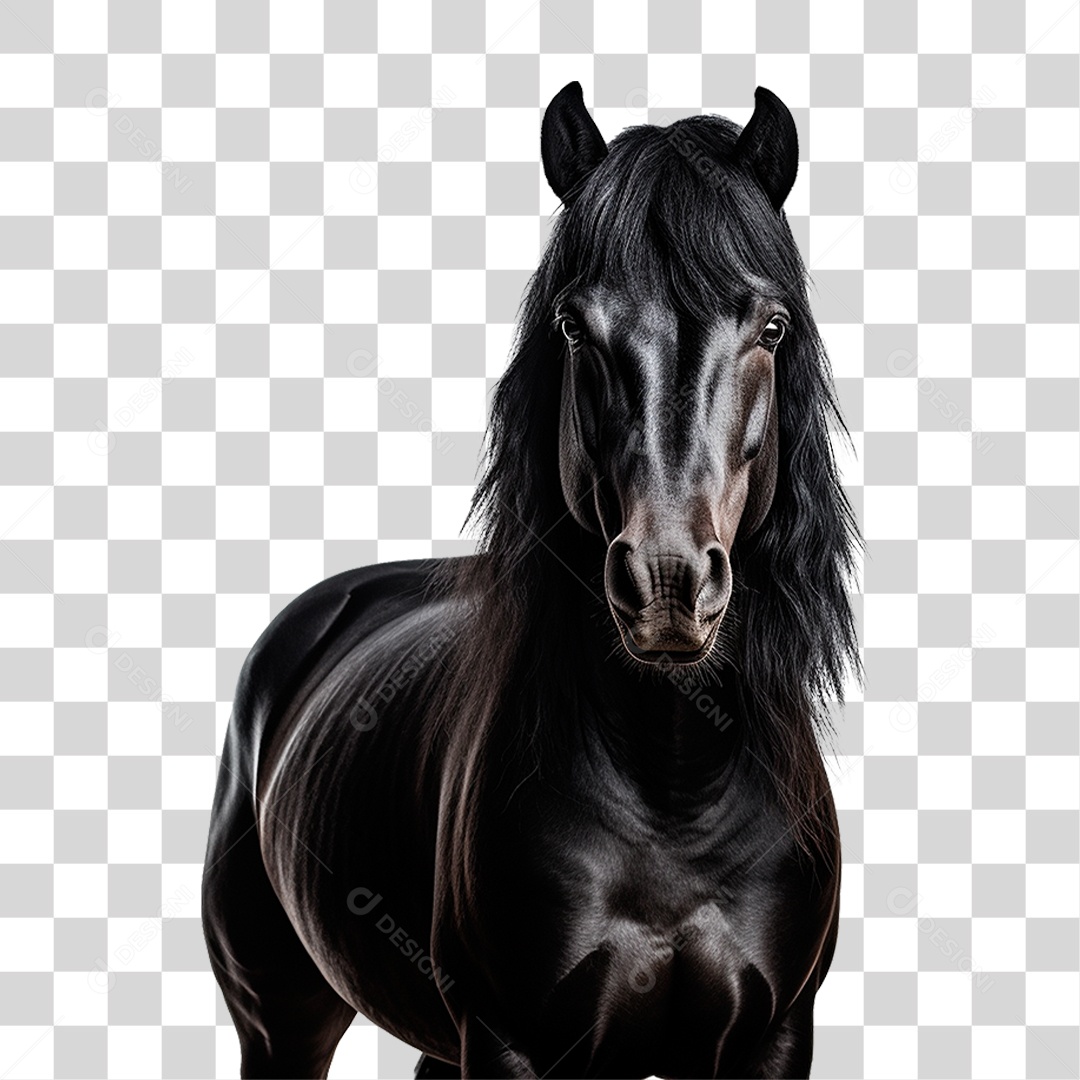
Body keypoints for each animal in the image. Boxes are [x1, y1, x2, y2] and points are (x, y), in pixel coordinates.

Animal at [202, 81, 861, 1080]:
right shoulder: (513, 1042)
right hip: (280, 1021)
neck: (674, 779)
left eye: (772, 326)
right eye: (573, 325)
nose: (667, 582)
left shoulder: (774, 1040)